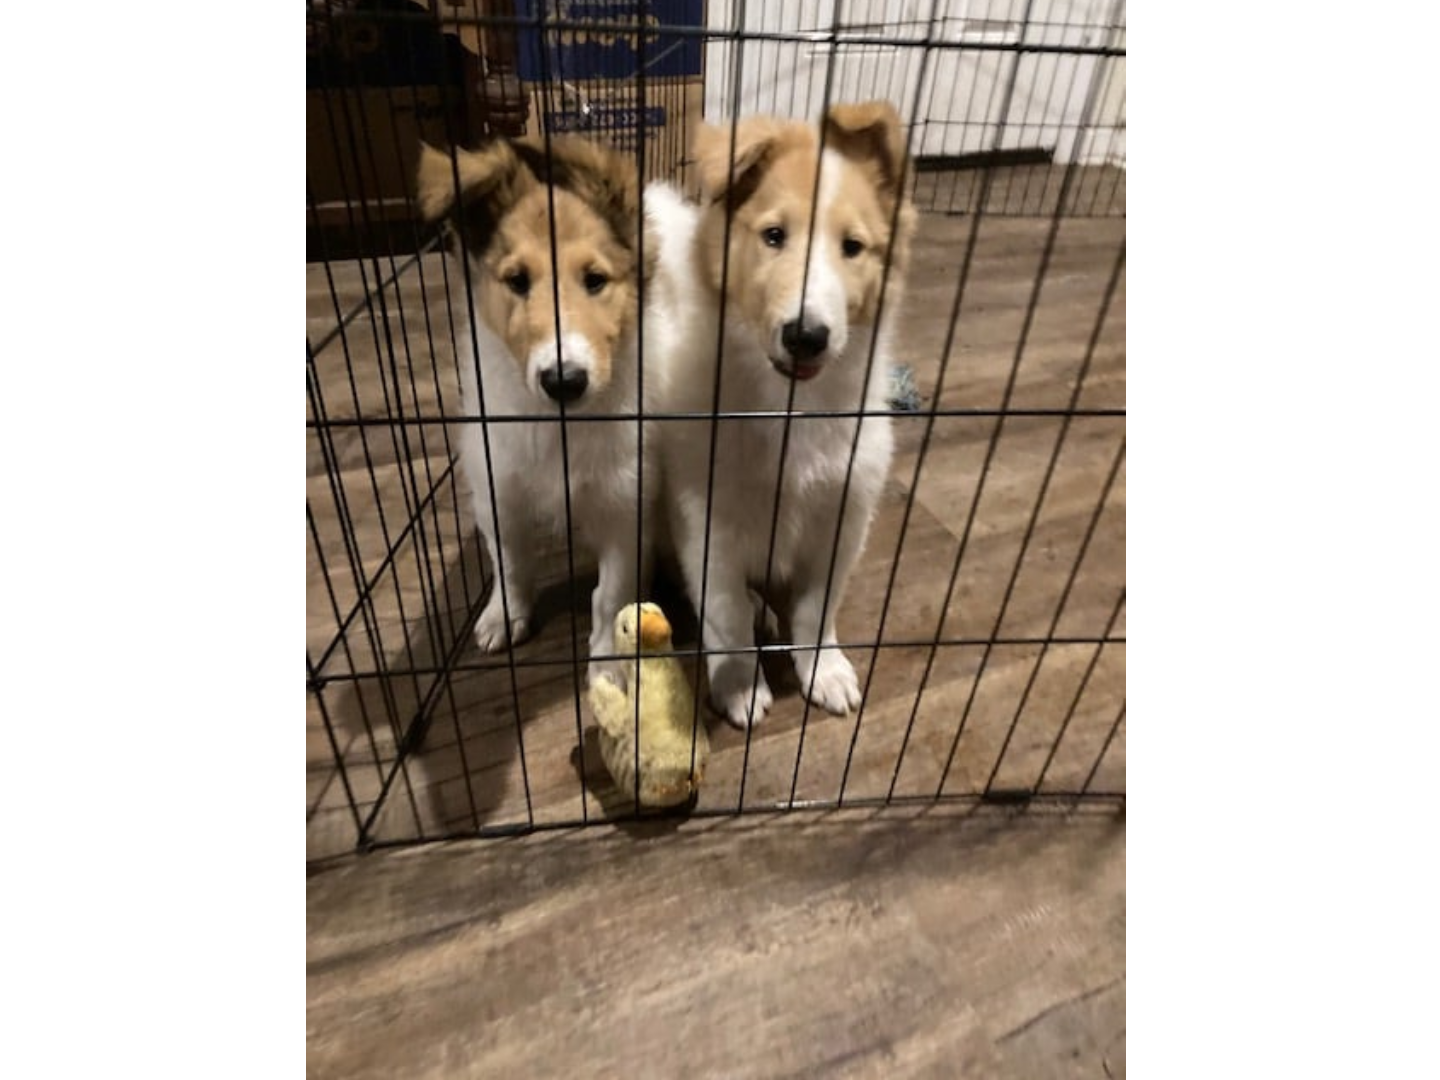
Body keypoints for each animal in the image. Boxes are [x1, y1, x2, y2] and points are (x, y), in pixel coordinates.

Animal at [411, 137, 668, 685]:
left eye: (595, 280)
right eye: (516, 280)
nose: (564, 380)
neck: (559, 427)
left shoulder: (625, 501)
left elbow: (610, 593)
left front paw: (608, 663)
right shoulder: (497, 486)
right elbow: (509, 561)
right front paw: (504, 616)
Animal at [659, 103, 915, 728]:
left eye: (853, 247)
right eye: (774, 236)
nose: (806, 336)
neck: (790, 408)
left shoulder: (841, 522)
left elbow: (815, 609)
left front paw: (824, 670)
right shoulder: (706, 524)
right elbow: (724, 614)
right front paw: (738, 686)